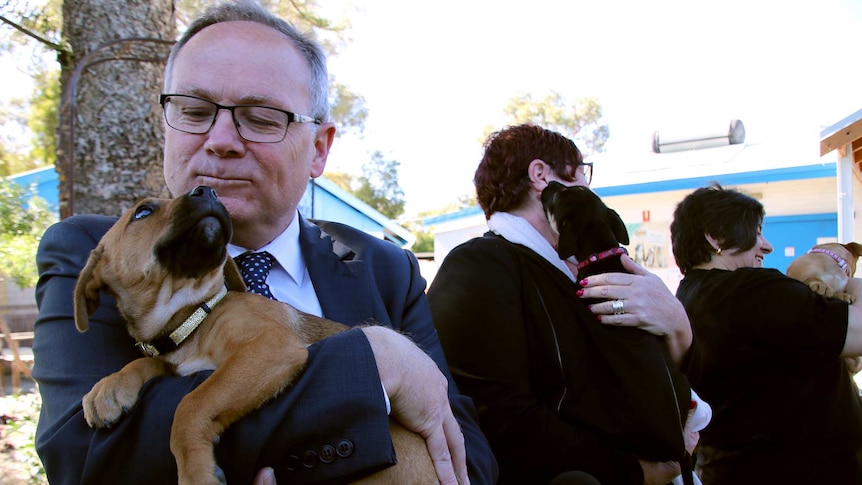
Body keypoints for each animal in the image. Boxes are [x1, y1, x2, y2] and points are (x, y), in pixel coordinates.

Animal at [75, 184, 438, 484]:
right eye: (143, 212)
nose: (206, 190)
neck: (193, 317)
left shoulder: (268, 347)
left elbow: (191, 404)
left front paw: (196, 473)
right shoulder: (179, 360)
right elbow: (148, 365)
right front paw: (110, 387)